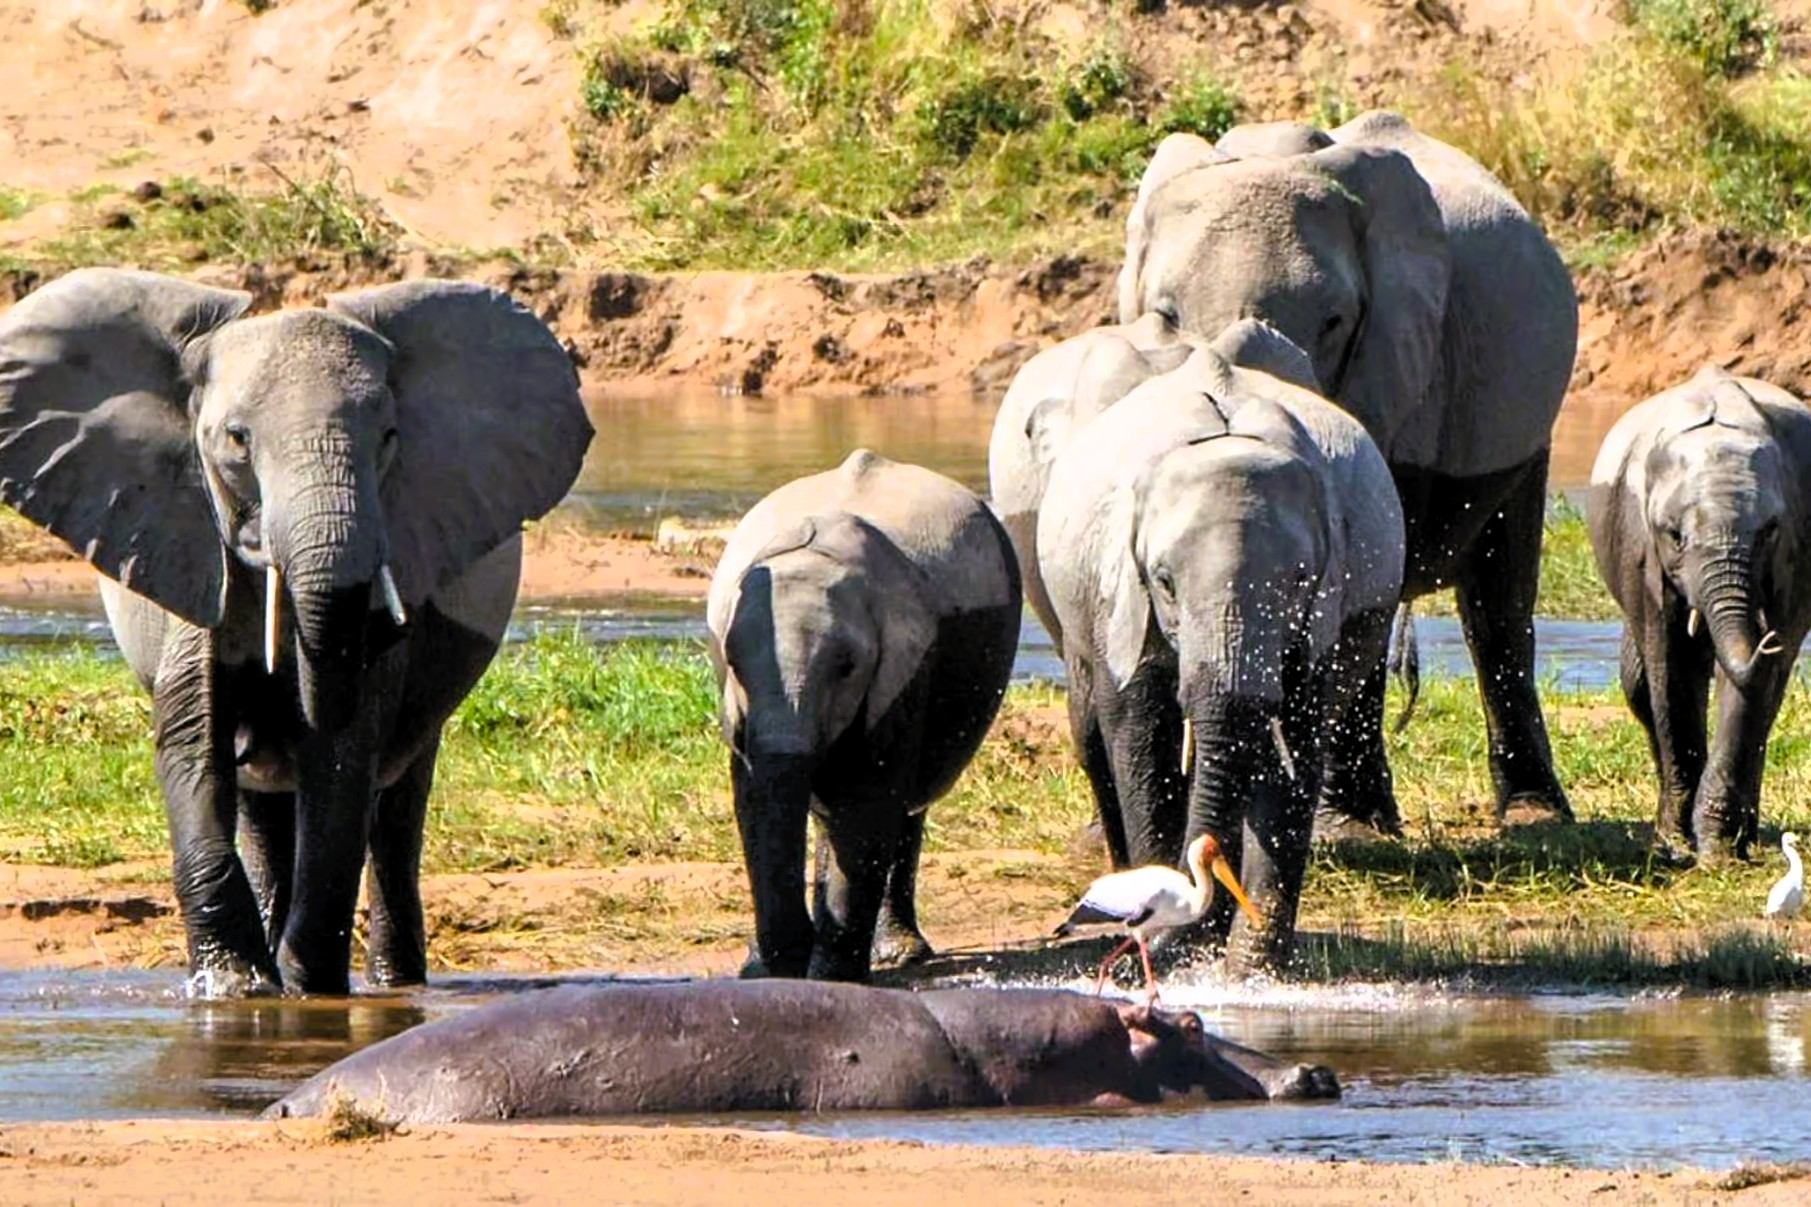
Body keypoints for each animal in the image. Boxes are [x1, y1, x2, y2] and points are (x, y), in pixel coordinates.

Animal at [0, 268, 592, 995]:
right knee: (265, 810)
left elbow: (342, 762)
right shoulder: (191, 554)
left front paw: (308, 991)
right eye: (236, 439)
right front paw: (235, 989)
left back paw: (392, 984)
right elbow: (194, 741)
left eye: (389, 436)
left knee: (394, 813)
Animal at [706, 449, 1022, 982]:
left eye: (846, 667)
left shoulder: (904, 669)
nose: (778, 958)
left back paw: (898, 953)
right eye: (733, 660)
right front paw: (770, 970)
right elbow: (754, 797)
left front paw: (830, 976)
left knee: (906, 806)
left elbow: (864, 806)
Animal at [1038, 322, 1404, 971]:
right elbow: (1145, 739)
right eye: (1164, 581)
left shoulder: (1323, 614)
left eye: (1300, 580)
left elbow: (1294, 749)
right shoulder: (1121, 596)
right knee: (1098, 734)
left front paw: (1255, 973)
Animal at [1118, 108, 1578, 834]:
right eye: (1166, 316)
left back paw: (1535, 814)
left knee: (1499, 599)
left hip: (1526, 431)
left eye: (1334, 321)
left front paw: (1348, 824)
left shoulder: (1401, 361)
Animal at [1588, 365, 1811, 862]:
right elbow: (1670, 671)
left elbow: (1747, 690)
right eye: (1674, 535)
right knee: (1638, 685)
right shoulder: (1641, 552)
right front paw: (1676, 847)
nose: (1767, 640)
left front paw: (1717, 849)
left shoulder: (1795, 553)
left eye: (1769, 531)